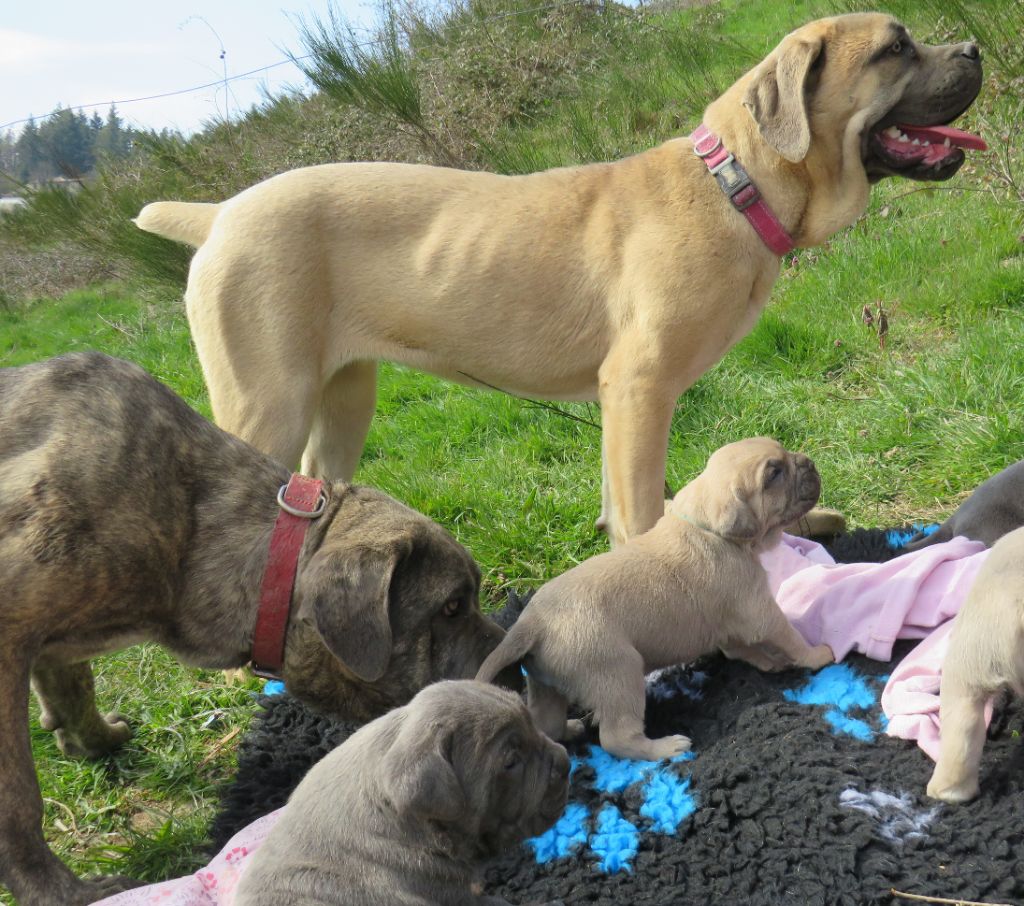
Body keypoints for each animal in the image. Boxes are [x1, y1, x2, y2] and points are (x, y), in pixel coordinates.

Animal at [2, 352, 505, 904]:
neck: (196, 528)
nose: (513, 664)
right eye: (452, 607)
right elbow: (19, 796)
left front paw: (93, 740)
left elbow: (72, 684)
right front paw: (58, 892)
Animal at [475, 434, 835, 761]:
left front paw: (768, 661)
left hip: (546, 683)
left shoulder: (730, 622)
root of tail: (530, 623)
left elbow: (740, 648)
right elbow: (790, 637)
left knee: (546, 722)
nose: (809, 463)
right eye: (774, 474)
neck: (707, 526)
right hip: (618, 673)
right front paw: (816, 654)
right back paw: (666, 748)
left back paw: (570, 730)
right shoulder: (760, 611)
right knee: (616, 739)